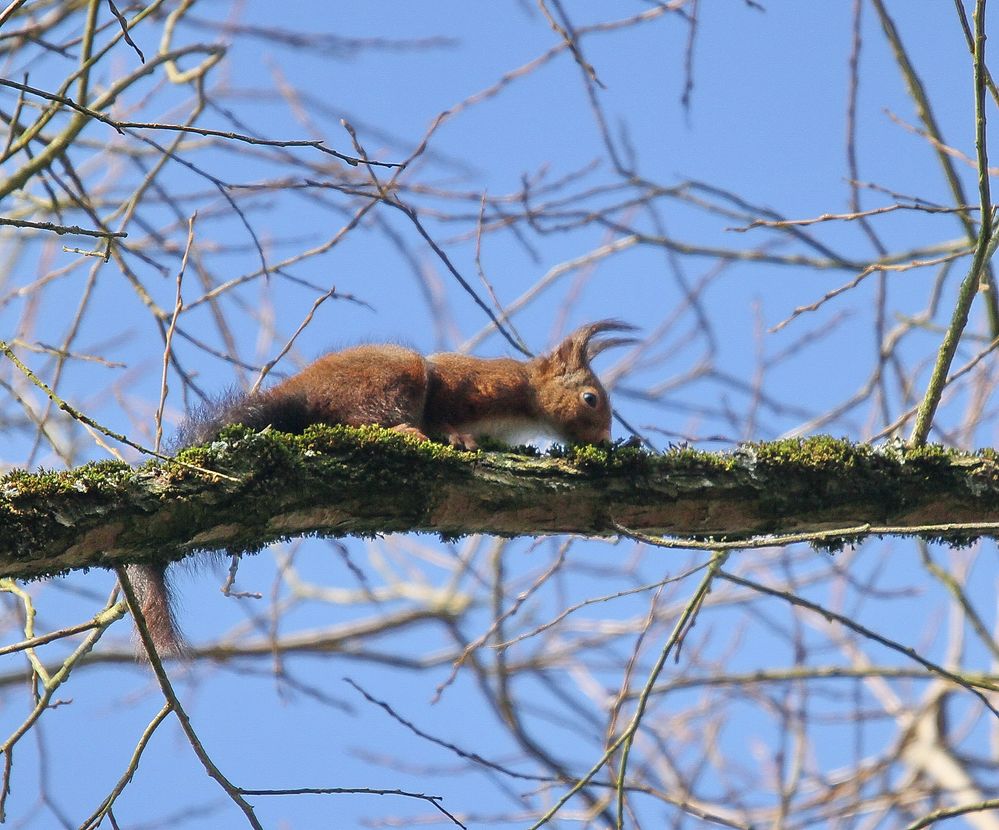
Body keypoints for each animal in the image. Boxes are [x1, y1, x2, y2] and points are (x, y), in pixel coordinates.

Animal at [125, 322, 632, 652]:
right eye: (591, 399)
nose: (606, 442)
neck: (524, 401)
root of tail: (299, 394)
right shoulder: (473, 384)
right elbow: (443, 407)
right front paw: (456, 435)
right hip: (388, 380)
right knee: (364, 419)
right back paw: (409, 432)